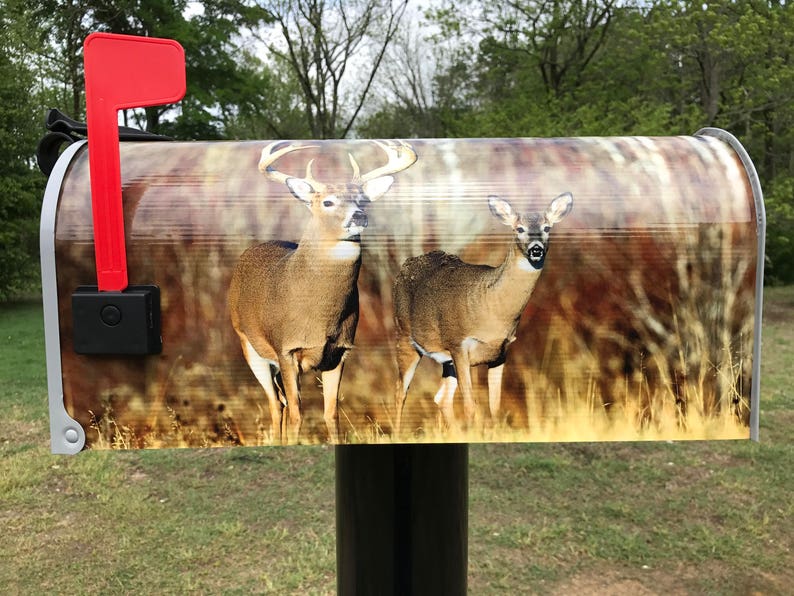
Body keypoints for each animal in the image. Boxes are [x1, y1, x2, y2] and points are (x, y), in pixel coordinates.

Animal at [229, 140, 417, 444]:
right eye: (328, 202)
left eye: (363, 199)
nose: (359, 216)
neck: (320, 316)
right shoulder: (286, 349)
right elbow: (297, 413)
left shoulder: (339, 351)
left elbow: (331, 413)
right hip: (248, 345)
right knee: (276, 404)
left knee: (280, 402)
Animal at [392, 192, 573, 433]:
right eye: (519, 228)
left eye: (547, 227)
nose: (536, 249)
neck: (493, 310)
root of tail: (405, 266)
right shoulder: (458, 344)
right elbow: (470, 405)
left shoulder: (501, 352)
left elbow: (494, 405)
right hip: (405, 336)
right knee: (400, 391)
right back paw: (397, 433)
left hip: (446, 360)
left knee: (441, 398)